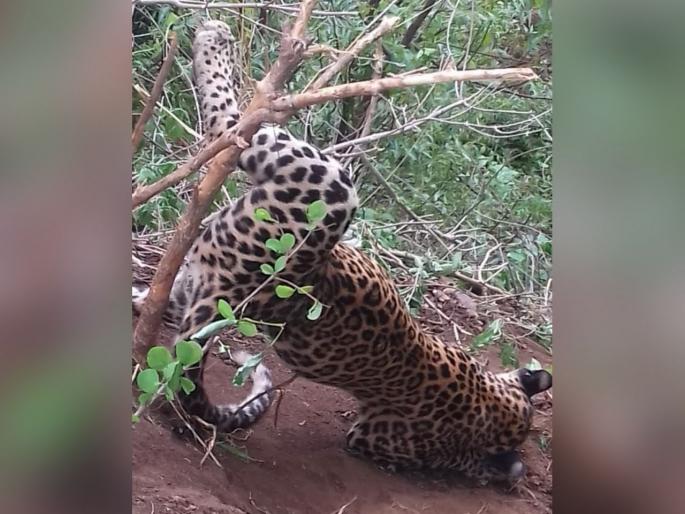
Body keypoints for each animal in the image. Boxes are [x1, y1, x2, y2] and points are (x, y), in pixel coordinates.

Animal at [133, 20, 552, 483]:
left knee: (233, 126)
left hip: (323, 187)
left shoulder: (368, 437)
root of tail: (226, 296)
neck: (480, 407)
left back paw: (214, 39)